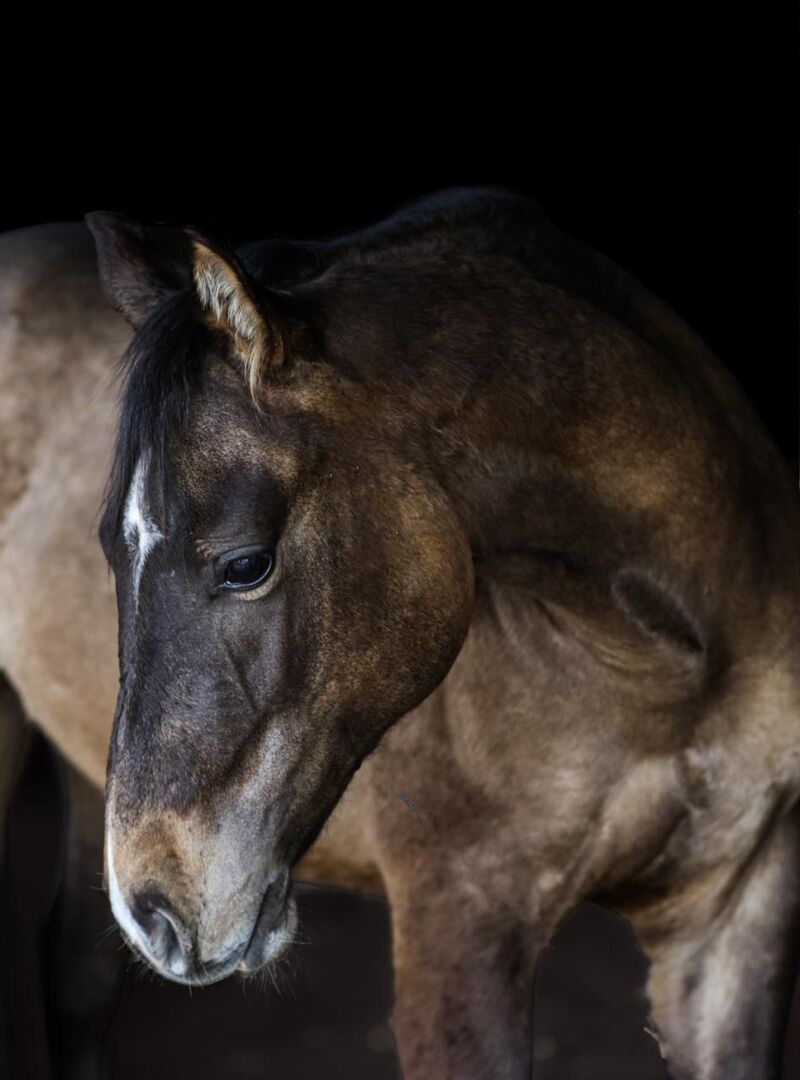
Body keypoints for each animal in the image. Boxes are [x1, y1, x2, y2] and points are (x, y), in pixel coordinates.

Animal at [0, 188, 798, 1080]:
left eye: (245, 564)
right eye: (108, 546)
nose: (153, 906)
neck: (668, 670)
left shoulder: (737, 915)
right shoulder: (457, 925)